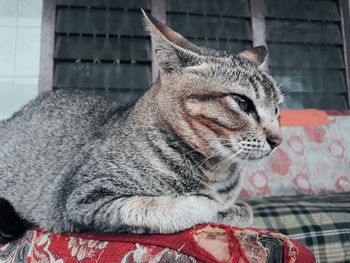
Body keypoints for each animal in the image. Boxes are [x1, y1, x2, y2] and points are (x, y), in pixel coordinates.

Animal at [0, 11, 282, 244]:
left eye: (277, 108)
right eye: (243, 102)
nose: (277, 139)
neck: (215, 172)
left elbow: (243, 211)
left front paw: (228, 209)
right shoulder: (84, 198)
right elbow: (168, 207)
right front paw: (208, 206)